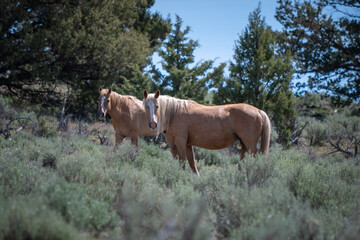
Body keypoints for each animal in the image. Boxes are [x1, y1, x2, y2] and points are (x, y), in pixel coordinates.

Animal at [141, 89, 270, 175]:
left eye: (157, 106)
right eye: (146, 106)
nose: (153, 124)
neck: (174, 113)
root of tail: (258, 111)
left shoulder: (180, 142)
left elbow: (182, 161)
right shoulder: (183, 144)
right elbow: (191, 162)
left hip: (250, 144)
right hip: (244, 144)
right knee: (243, 160)